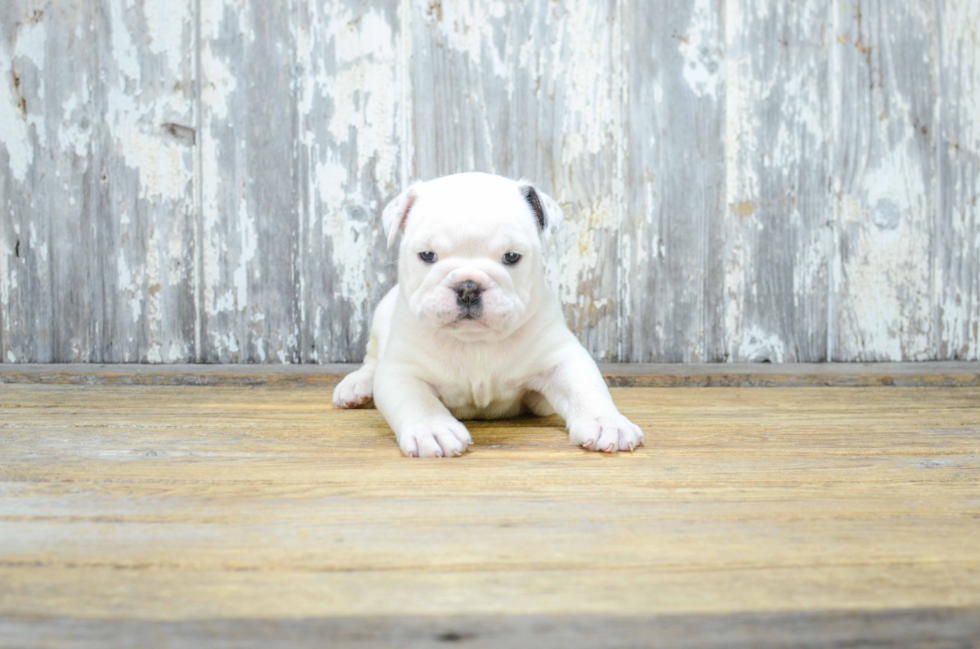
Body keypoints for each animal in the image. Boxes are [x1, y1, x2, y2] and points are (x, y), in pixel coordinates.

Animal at [334, 171, 648, 456]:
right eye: (427, 255)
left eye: (511, 257)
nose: (468, 287)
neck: (477, 342)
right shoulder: (402, 369)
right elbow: (416, 399)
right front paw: (432, 429)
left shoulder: (561, 359)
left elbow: (586, 388)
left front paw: (607, 423)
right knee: (372, 361)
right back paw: (357, 386)